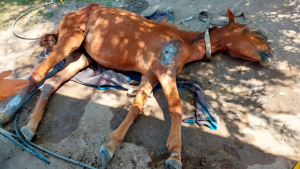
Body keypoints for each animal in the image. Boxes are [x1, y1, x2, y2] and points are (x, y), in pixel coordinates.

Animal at [0, 3, 276, 169]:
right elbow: (176, 108)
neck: (184, 42)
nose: (271, 53)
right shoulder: (165, 73)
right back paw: (9, 113)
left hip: (82, 57)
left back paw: (29, 127)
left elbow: (136, 107)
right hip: (69, 40)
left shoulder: (149, 76)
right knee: (35, 75)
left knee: (49, 84)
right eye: (247, 30)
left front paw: (110, 146)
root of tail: (74, 12)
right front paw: (175, 154)